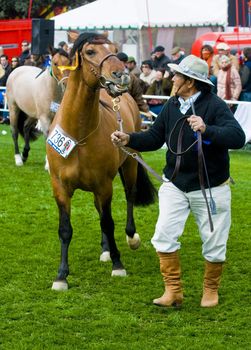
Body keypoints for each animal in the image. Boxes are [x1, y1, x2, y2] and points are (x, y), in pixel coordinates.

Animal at [46, 32, 156, 290]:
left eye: (115, 50)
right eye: (90, 52)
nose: (122, 74)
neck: (78, 136)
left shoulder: (104, 185)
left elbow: (108, 222)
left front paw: (118, 265)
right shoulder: (60, 187)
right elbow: (65, 229)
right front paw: (61, 276)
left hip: (129, 166)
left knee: (129, 196)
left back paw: (131, 237)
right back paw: (105, 249)